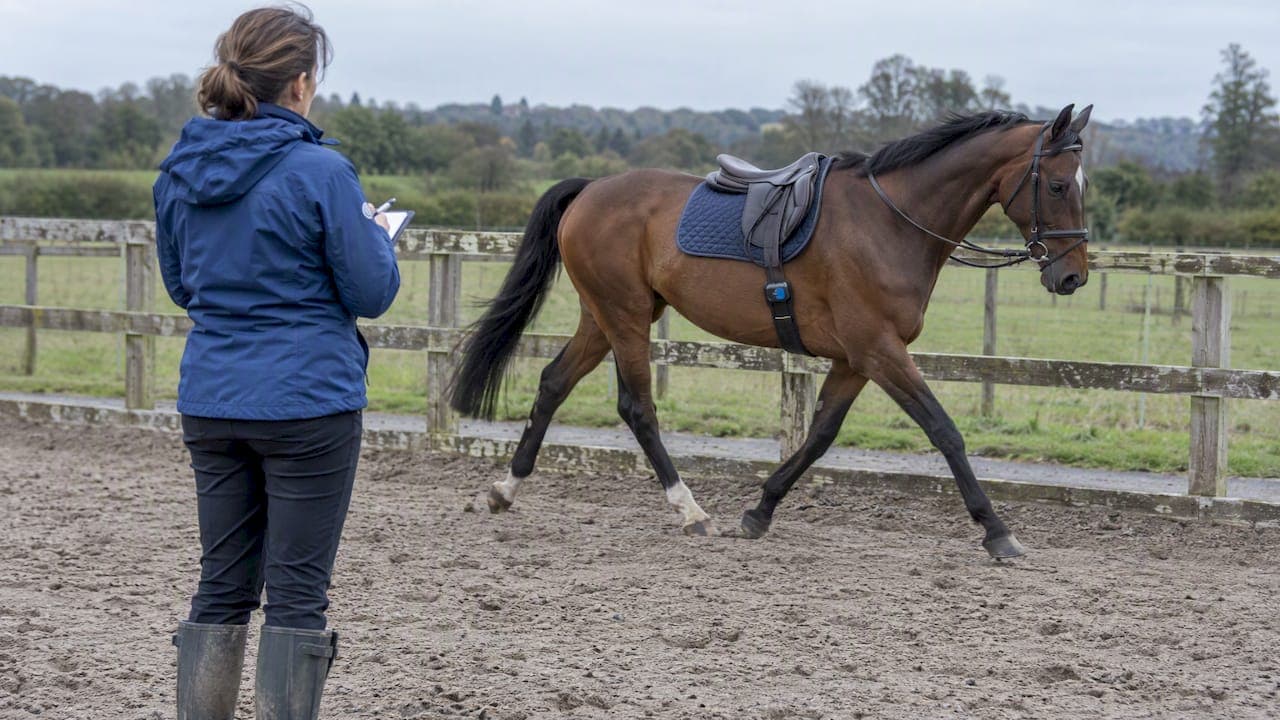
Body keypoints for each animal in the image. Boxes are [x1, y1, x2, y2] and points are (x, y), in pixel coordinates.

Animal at [449, 104, 1093, 559]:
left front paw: (760, 510)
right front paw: (997, 531)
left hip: (605, 315)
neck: (892, 222)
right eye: (1059, 185)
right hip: (625, 315)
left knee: (554, 383)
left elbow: (821, 434)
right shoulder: (879, 350)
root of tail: (590, 189)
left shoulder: (855, 359)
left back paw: (506, 489)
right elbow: (945, 431)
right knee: (637, 407)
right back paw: (690, 511)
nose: (1073, 277)